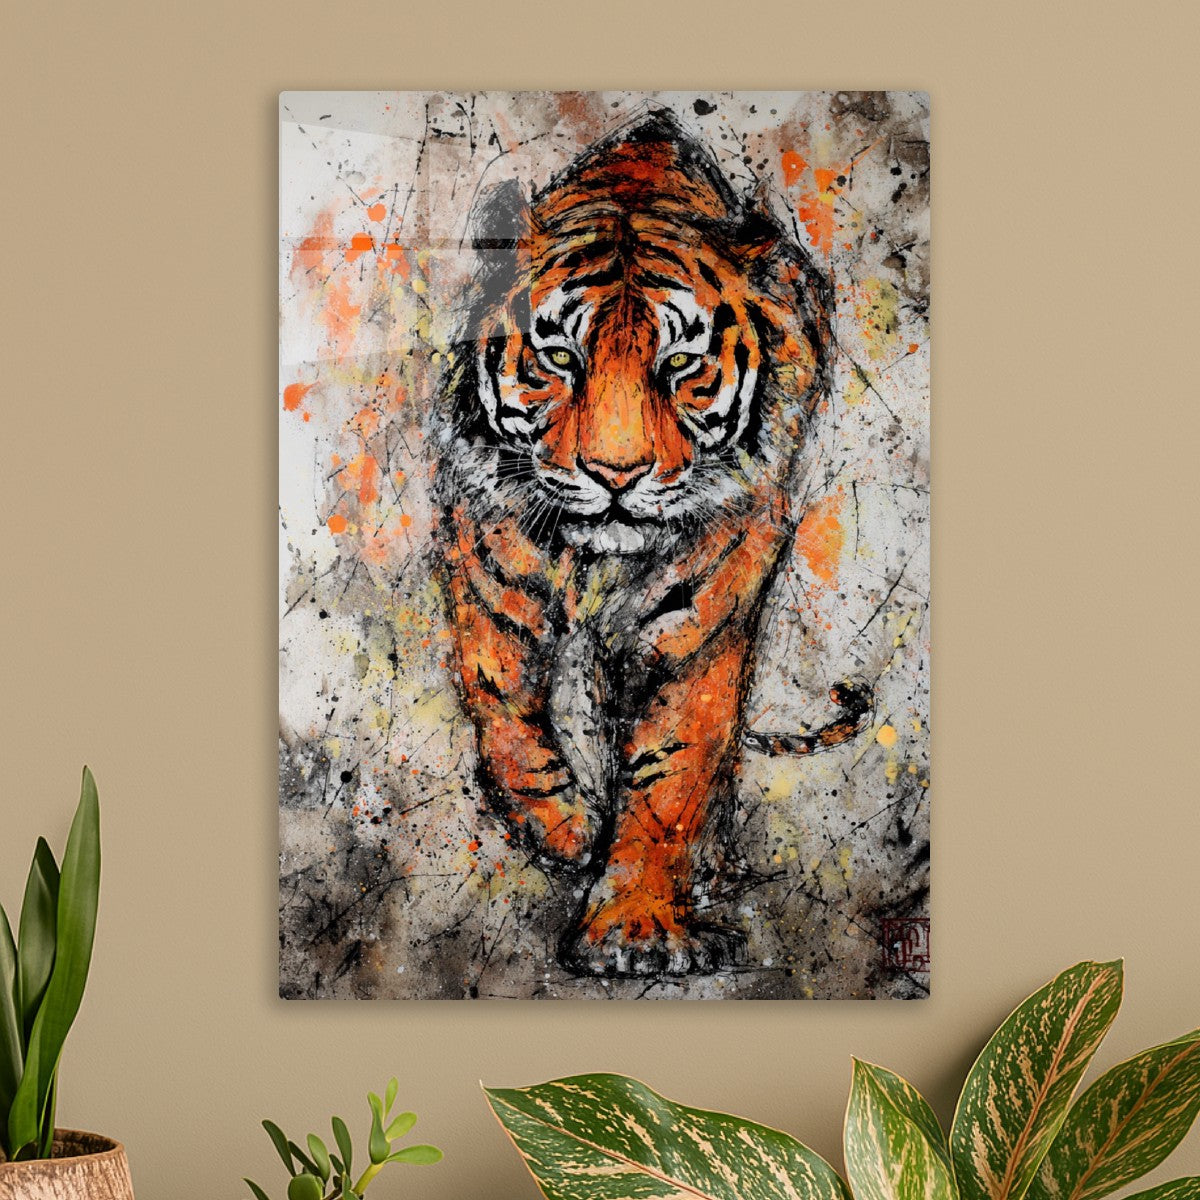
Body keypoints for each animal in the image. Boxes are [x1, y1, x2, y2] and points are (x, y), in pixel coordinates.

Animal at [432, 110, 871, 978]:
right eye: (559, 357)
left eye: (680, 364)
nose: (616, 473)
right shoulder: (487, 554)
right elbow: (502, 703)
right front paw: (568, 830)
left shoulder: (700, 611)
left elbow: (672, 763)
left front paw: (631, 927)